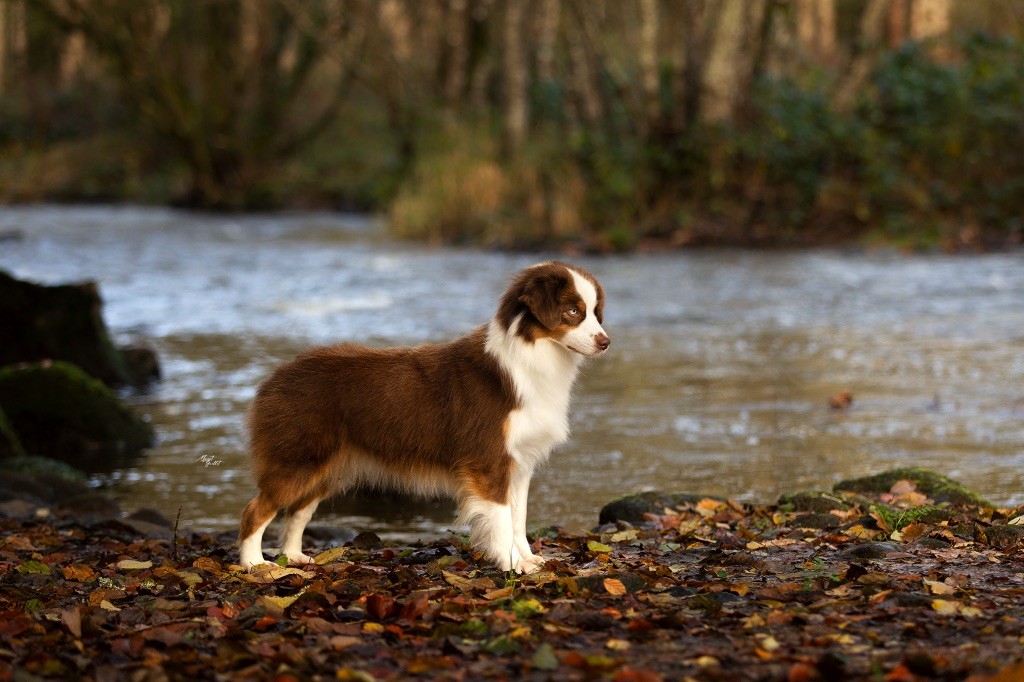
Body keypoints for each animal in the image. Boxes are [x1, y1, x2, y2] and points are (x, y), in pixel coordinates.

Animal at [237, 258, 606, 569]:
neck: (530, 359)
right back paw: (255, 564)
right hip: (298, 459)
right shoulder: (489, 462)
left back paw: (293, 556)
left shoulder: (520, 462)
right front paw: (512, 565)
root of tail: (276, 375)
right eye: (573, 310)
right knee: (255, 511)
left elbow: (519, 517)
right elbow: (502, 519)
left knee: (297, 511)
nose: (606, 342)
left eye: (595, 312)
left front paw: (527, 559)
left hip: (328, 466)